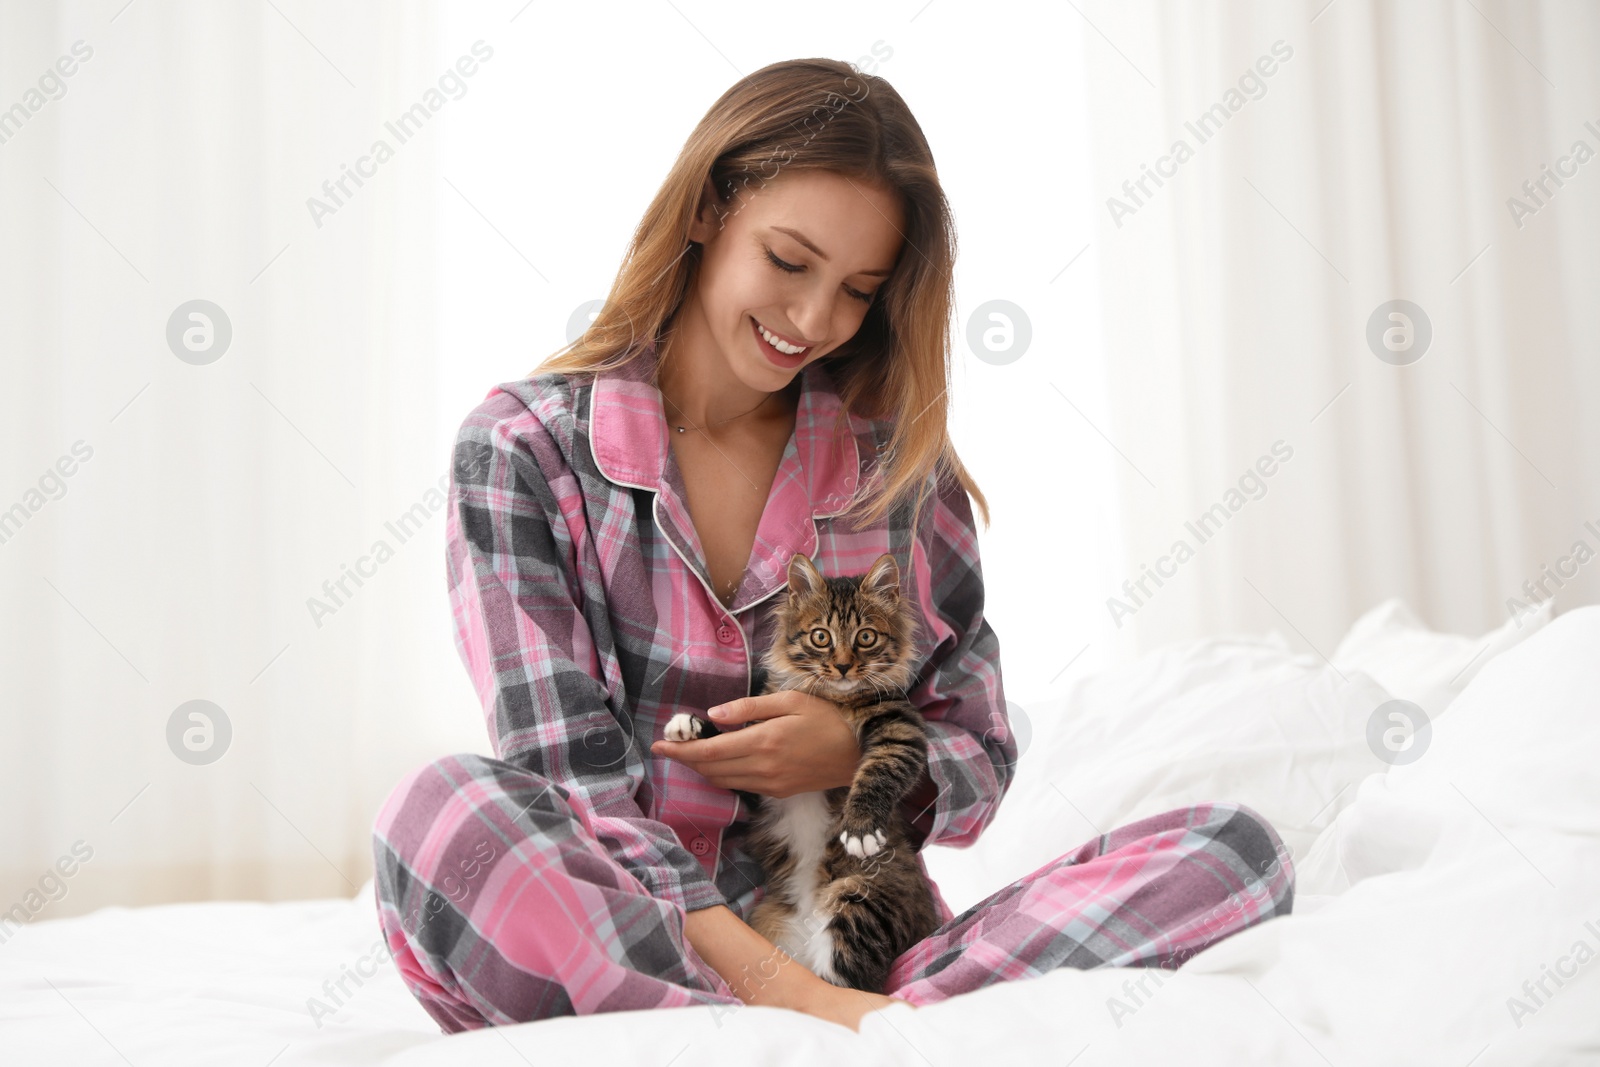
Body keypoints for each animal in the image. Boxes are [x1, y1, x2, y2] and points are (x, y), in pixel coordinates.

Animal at [659, 550, 934, 991]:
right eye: (821, 637)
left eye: (866, 637)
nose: (843, 667)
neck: (832, 698)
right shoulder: (756, 772)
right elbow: (735, 735)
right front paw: (691, 725)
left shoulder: (900, 729)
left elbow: (879, 772)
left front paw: (860, 829)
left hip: (861, 901)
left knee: (845, 982)